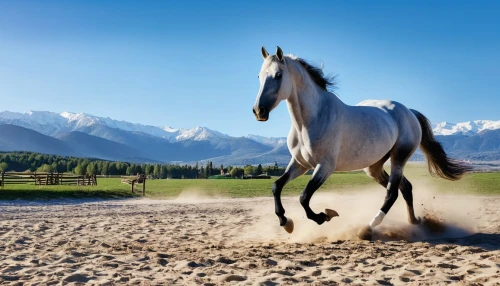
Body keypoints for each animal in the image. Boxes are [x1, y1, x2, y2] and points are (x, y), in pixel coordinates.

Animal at [252, 46, 470, 239]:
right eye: (259, 76)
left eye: (278, 75)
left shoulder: (325, 166)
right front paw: (286, 223)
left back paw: (368, 227)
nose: (258, 111)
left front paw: (325, 216)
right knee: (405, 188)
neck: (311, 120)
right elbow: (277, 186)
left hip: (399, 157)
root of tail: (409, 111)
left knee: (392, 193)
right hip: (374, 167)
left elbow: (304, 197)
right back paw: (414, 221)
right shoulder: (300, 164)